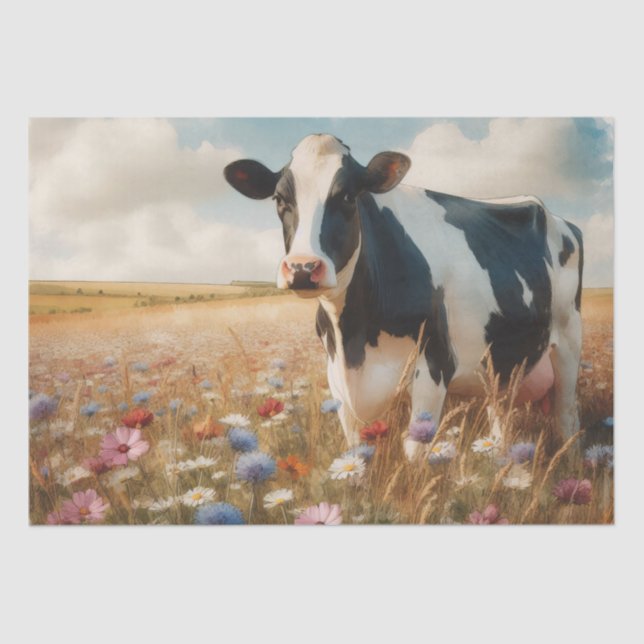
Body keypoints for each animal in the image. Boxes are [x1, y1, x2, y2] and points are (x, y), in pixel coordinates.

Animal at [224, 133, 583, 458]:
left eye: (348, 196)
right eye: (279, 199)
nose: (302, 267)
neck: (354, 338)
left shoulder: (435, 363)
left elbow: (413, 454)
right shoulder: (337, 376)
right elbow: (354, 452)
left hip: (568, 342)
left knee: (567, 417)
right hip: (502, 363)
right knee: (501, 418)